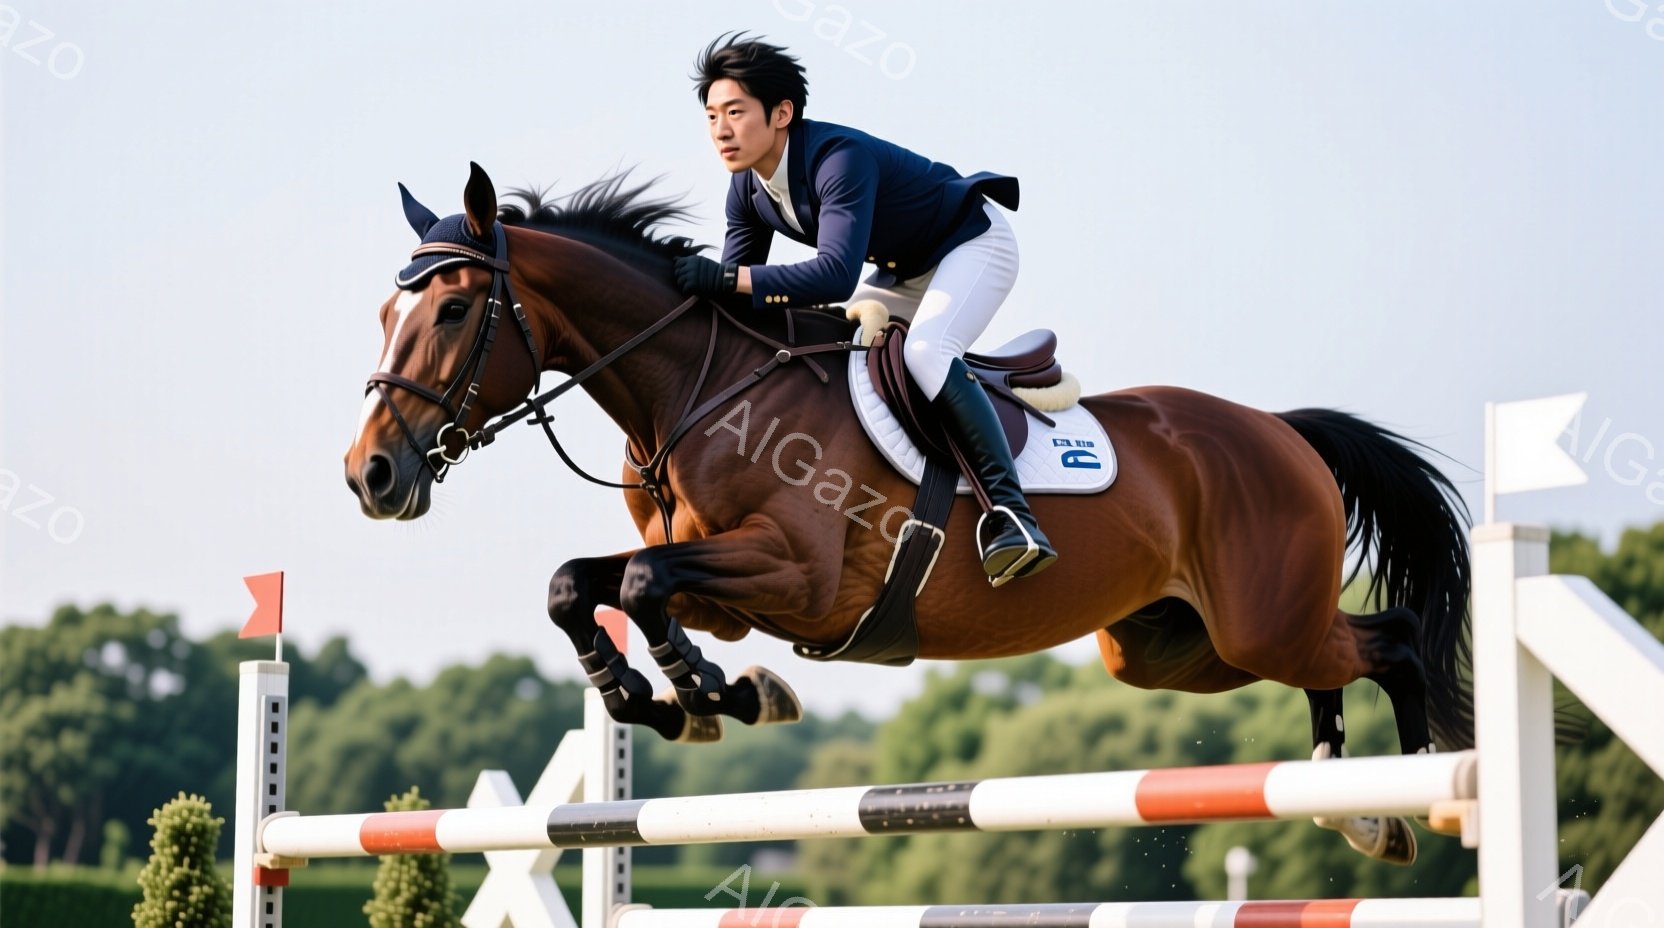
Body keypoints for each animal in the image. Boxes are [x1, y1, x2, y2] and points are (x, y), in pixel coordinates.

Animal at [344, 164, 1472, 865]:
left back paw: (1415, 793)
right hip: (1171, 647)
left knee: (1390, 641)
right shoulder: (725, 588)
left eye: (454, 309)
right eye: (387, 311)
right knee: (1329, 663)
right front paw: (685, 696)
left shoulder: (796, 577)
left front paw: (703, 692)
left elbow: (634, 580)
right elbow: (582, 584)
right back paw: (1355, 805)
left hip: (1251, 620)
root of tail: (1280, 431)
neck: (696, 387)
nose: (371, 476)